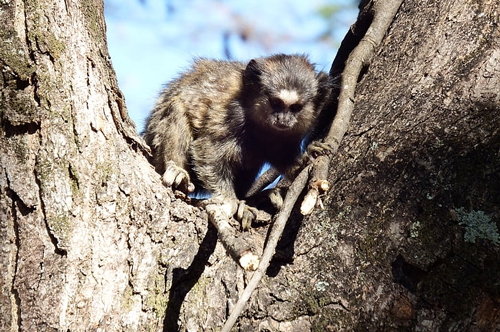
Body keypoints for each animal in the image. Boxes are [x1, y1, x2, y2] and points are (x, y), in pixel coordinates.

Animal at [144, 54, 332, 230]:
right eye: (275, 102)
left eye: (295, 108)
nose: (283, 119)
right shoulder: (233, 115)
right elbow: (207, 150)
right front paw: (230, 200)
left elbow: (285, 159)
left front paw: (310, 155)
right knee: (176, 108)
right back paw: (179, 172)